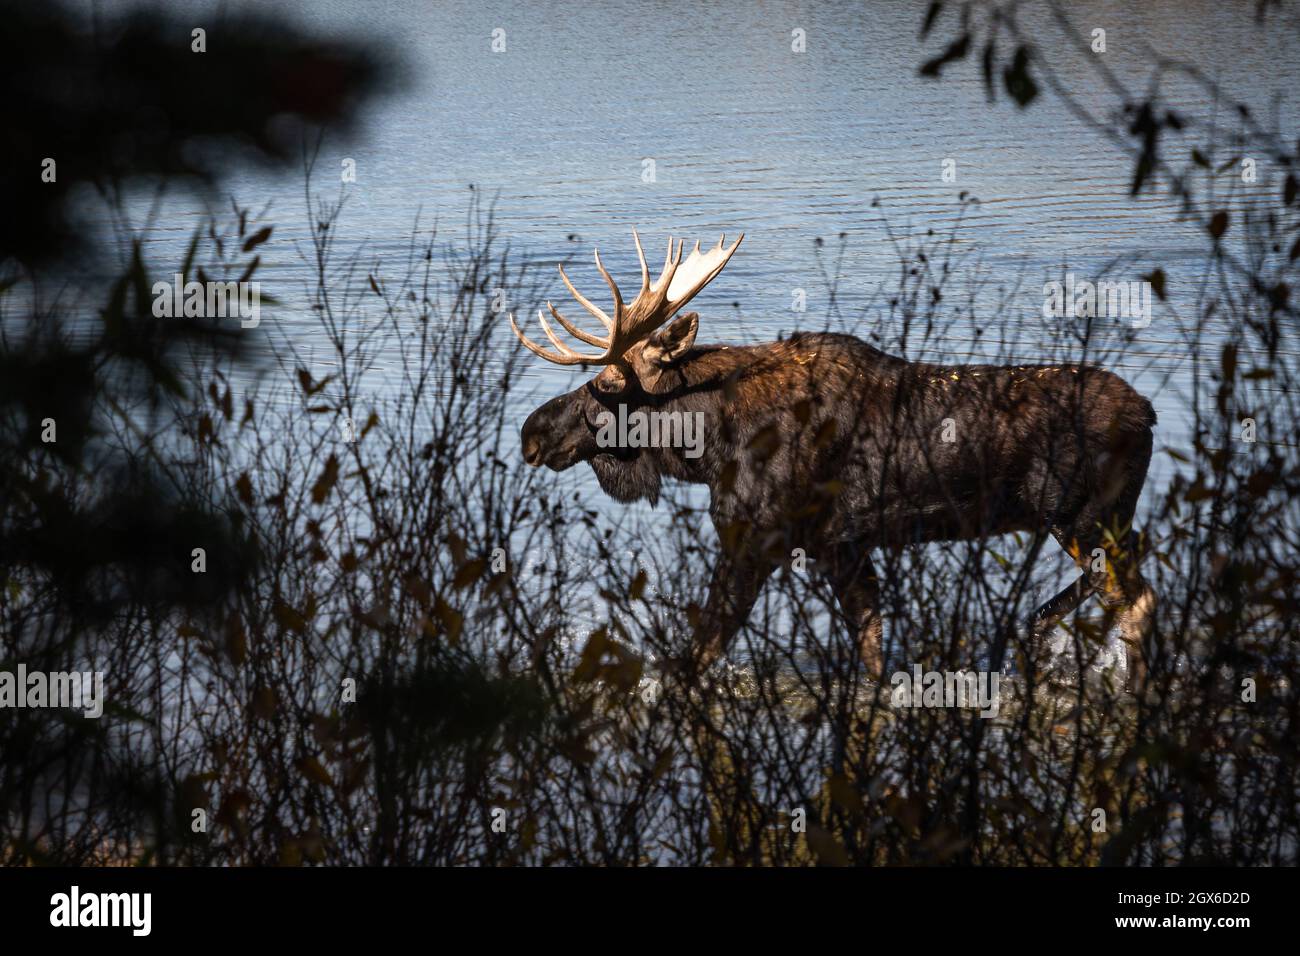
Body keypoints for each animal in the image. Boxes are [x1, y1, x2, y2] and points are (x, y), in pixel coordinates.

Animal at [509, 231, 1159, 681]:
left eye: (606, 385)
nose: (531, 431)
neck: (707, 444)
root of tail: (1150, 416)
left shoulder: (754, 539)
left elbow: (703, 649)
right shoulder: (842, 547)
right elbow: (870, 645)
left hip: (1080, 517)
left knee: (1134, 598)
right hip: (1098, 520)